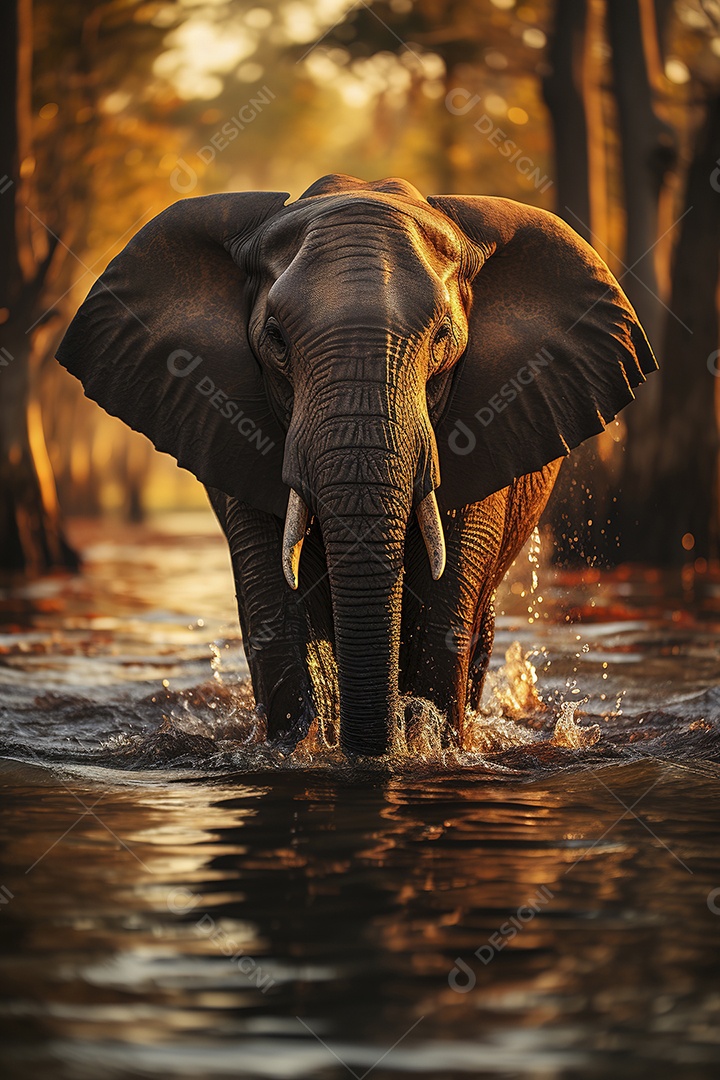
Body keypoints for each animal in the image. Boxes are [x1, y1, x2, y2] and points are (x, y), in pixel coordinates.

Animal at [56, 174, 655, 757]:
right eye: (275, 339)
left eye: (443, 339)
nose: (372, 748)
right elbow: (276, 605)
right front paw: (303, 747)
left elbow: (444, 606)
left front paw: (424, 745)